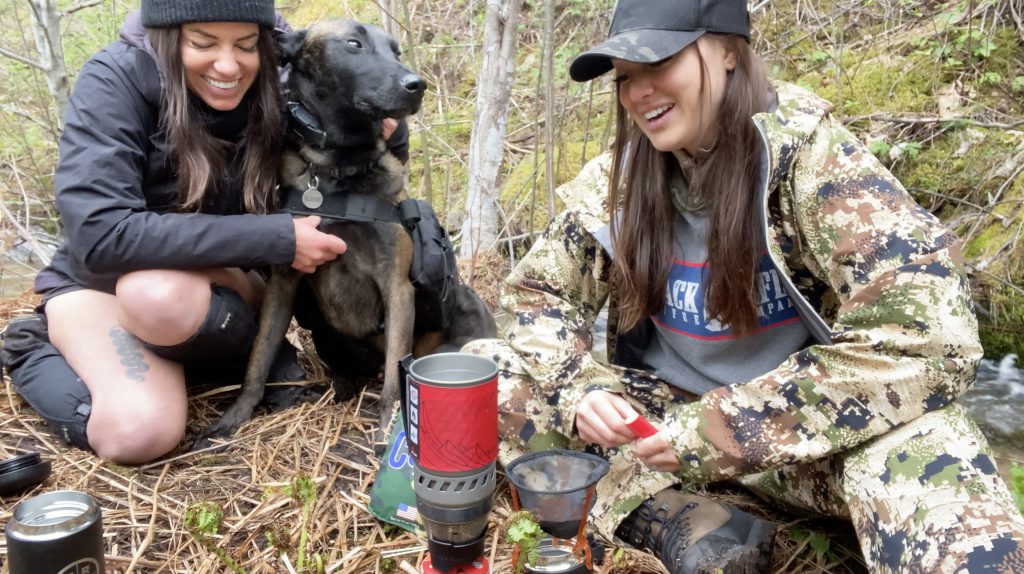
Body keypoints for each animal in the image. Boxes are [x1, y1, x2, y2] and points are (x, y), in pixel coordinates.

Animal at [194, 19, 495, 448]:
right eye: (354, 44)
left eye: (396, 51)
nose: (417, 85)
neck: (338, 171)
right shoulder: (283, 283)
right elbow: (258, 359)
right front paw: (232, 418)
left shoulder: (397, 287)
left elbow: (394, 383)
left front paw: (389, 427)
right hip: (323, 330)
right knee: (349, 373)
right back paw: (339, 390)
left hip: (464, 316)